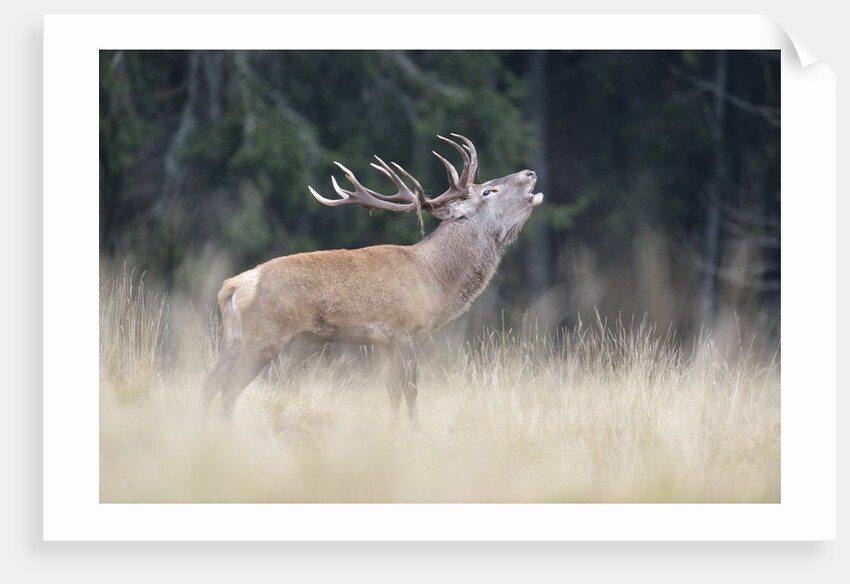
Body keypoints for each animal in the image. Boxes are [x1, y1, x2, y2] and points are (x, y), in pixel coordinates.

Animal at [201, 133, 544, 421]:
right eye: (488, 190)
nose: (530, 173)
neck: (435, 280)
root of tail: (234, 286)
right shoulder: (406, 330)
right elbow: (411, 392)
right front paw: (414, 432)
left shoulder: (383, 342)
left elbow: (392, 393)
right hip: (264, 335)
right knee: (228, 388)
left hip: (233, 339)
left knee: (209, 382)